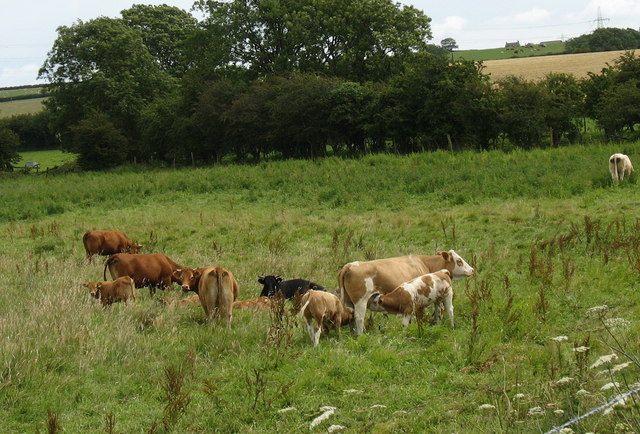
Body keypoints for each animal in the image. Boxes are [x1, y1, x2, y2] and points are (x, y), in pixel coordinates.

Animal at [340, 251, 476, 336]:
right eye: (459, 260)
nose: (472, 270)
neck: (424, 263)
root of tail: (350, 265)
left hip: (348, 302)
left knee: (351, 317)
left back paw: (353, 336)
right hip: (361, 302)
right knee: (359, 318)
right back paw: (361, 335)